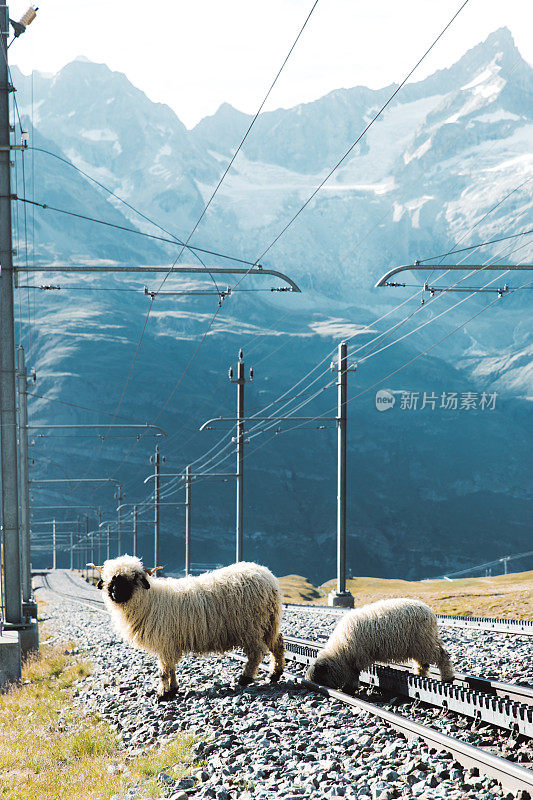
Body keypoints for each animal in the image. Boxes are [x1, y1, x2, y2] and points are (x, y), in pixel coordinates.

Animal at [90, 556, 284, 700]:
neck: (150, 601)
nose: (115, 592)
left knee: (256, 652)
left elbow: (163, 671)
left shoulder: (165, 642)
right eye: (109, 579)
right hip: (269, 622)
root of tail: (268, 577)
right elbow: (171, 668)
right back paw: (275, 674)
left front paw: (162, 694)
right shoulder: (169, 645)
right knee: (278, 643)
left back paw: (245, 678)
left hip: (251, 626)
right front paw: (173, 689)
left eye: (132, 578)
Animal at [306, 596, 450, 692]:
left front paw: (349, 688)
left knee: (442, 655)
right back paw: (420, 675)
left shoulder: (358, 656)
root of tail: (430, 612)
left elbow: (354, 673)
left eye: (320, 677)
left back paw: (448, 677)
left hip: (424, 641)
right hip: (419, 645)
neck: (340, 650)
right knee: (422, 662)